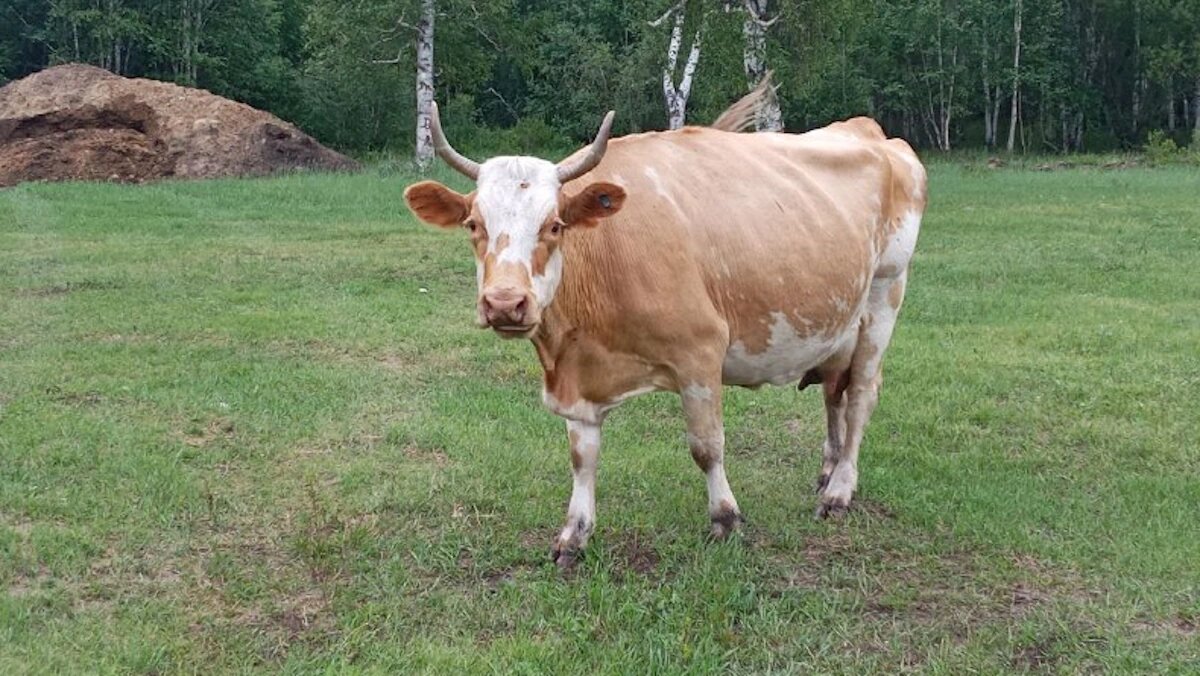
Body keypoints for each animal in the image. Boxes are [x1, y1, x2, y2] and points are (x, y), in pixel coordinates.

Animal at [404, 90, 927, 568]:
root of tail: (868, 130)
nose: (505, 303)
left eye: (554, 226)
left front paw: (725, 518)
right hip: (837, 325)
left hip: (883, 297)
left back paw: (839, 491)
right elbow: (582, 456)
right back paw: (828, 471)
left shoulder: (700, 352)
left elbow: (706, 446)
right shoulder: (578, 377)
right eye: (473, 224)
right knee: (833, 395)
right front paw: (574, 535)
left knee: (860, 396)